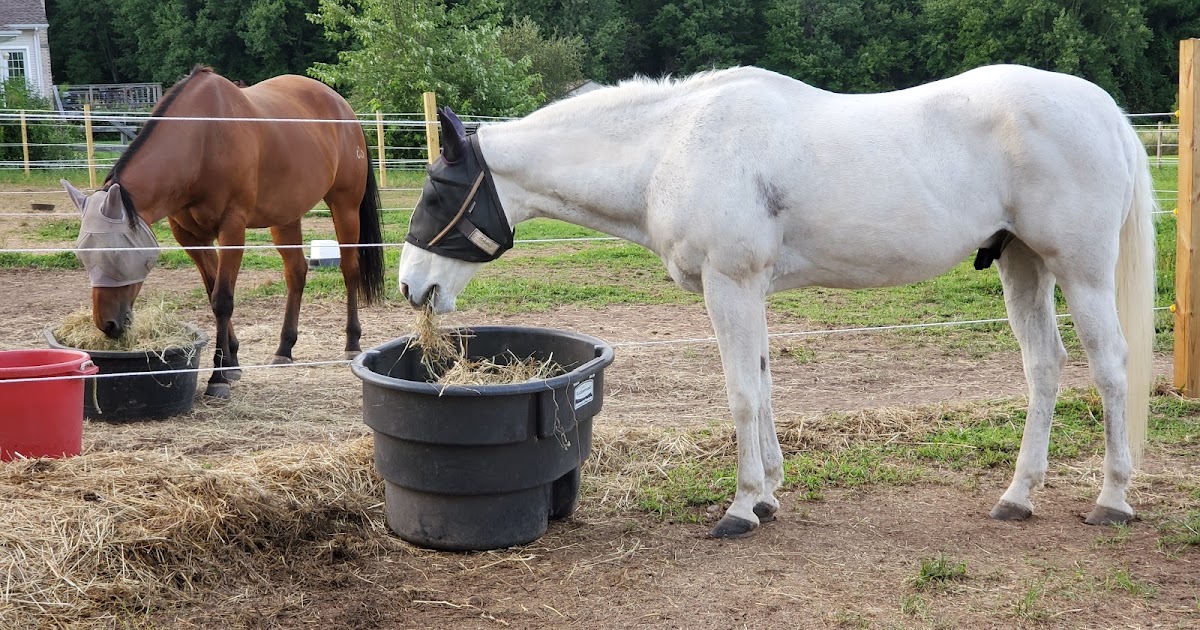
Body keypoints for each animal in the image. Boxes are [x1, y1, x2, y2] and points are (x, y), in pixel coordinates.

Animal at [62, 65, 386, 399]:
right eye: (82, 255)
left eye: (118, 252)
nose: (107, 324)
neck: (202, 138)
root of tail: (344, 109)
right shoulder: (191, 236)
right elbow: (212, 292)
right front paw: (232, 362)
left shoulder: (232, 229)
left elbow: (222, 299)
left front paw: (218, 376)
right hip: (285, 217)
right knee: (296, 272)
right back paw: (284, 348)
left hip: (344, 207)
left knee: (350, 270)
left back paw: (351, 343)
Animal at [397, 64, 1156, 539]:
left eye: (437, 190)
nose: (411, 285)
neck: (675, 144)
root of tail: (1105, 111)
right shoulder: (750, 288)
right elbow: (762, 387)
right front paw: (767, 494)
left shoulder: (729, 285)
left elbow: (739, 394)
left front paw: (740, 507)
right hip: (1023, 264)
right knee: (1045, 367)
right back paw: (1018, 495)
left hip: (1080, 271)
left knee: (1110, 367)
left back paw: (1113, 498)